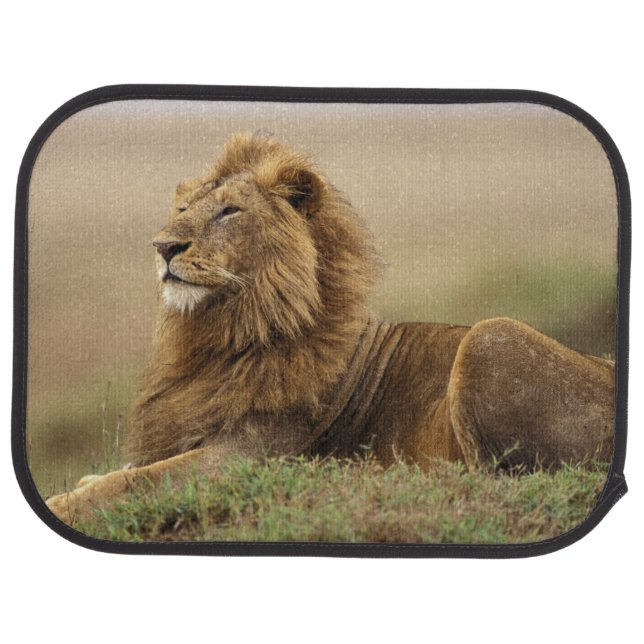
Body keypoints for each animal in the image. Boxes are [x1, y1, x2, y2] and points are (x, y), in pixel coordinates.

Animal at [46, 133, 615, 528]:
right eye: (183, 210)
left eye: (229, 211)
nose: (163, 246)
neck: (222, 334)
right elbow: (117, 474)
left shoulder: (248, 456)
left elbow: (132, 484)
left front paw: (62, 501)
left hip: (489, 336)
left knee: (489, 479)